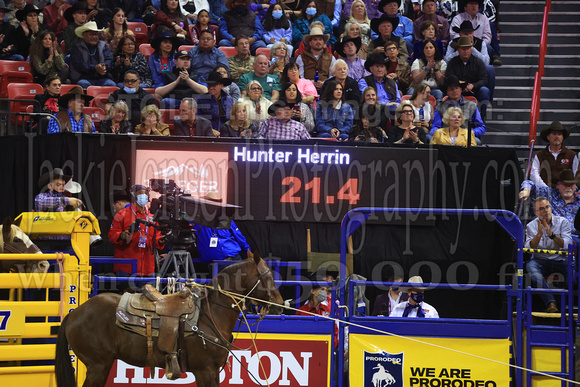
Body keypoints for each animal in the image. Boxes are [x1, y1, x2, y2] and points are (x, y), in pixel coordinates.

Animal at [55, 256, 284, 386]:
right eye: (267, 277)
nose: (281, 304)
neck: (210, 316)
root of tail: (75, 313)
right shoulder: (205, 371)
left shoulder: (213, 372)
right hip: (97, 366)